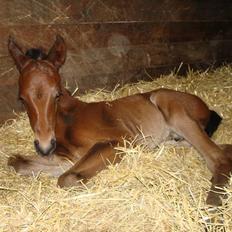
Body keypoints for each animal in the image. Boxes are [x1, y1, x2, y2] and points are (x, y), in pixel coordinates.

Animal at [7, 34, 232, 205]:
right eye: (22, 98)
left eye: (56, 95)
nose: (45, 146)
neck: (67, 120)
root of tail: (205, 106)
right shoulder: (66, 158)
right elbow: (17, 162)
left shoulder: (121, 140)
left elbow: (67, 177)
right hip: (177, 138)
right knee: (223, 148)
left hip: (168, 105)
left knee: (219, 157)